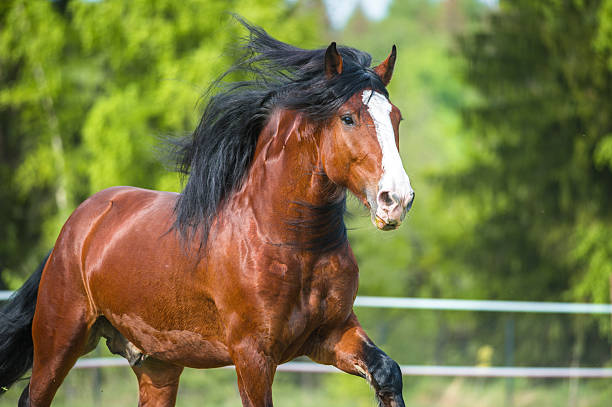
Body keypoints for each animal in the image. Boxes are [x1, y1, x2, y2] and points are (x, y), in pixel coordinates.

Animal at [0, 21, 414, 407]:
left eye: (396, 117)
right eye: (348, 118)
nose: (396, 199)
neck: (290, 242)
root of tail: (79, 223)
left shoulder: (330, 333)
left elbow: (387, 371)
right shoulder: (252, 354)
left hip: (157, 363)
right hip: (60, 338)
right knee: (33, 396)